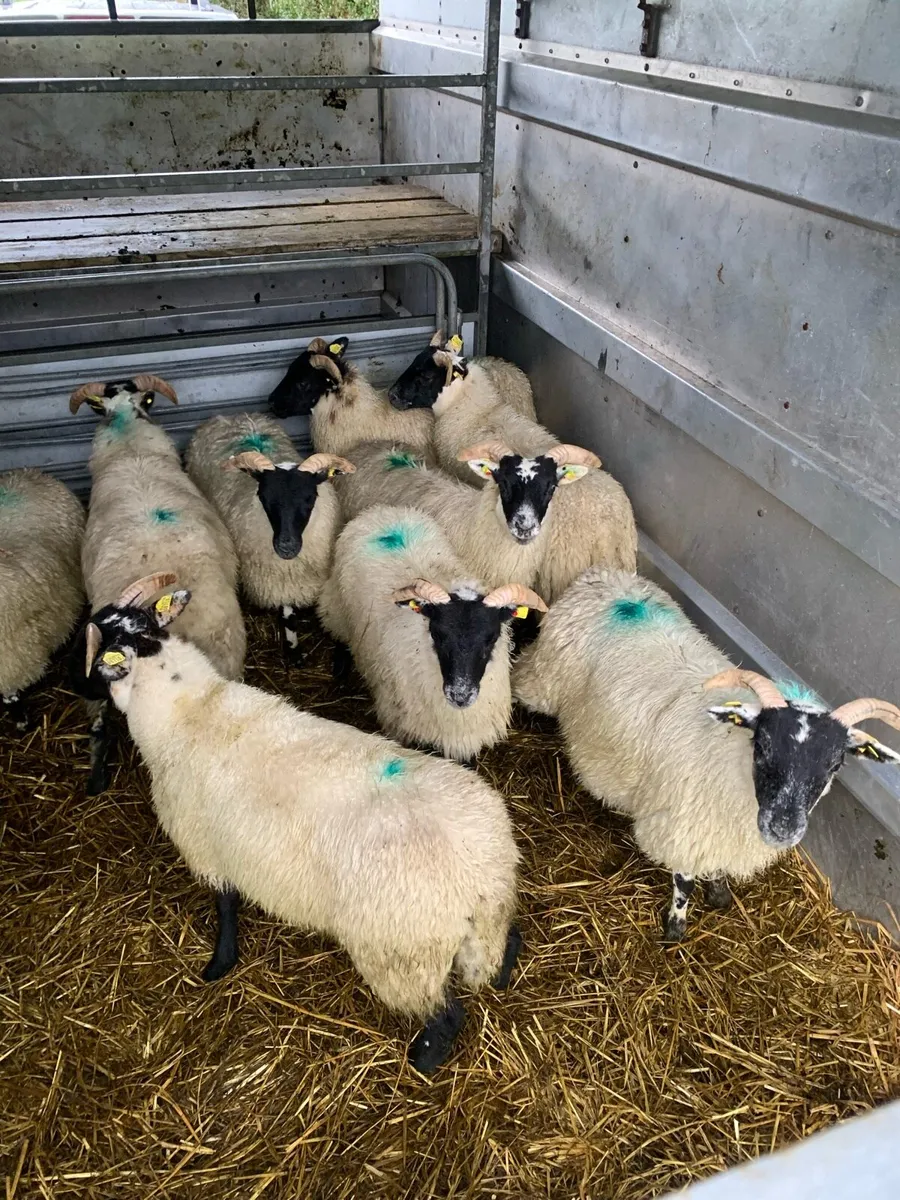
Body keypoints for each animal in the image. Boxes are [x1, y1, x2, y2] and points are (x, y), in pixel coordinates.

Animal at [81, 572, 522, 1074]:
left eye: (94, 646)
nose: (83, 693)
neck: (190, 708)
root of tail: (484, 873)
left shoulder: (209, 847)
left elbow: (225, 906)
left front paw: (220, 964)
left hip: (402, 954)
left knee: (448, 1013)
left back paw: (422, 1060)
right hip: (481, 928)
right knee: (509, 943)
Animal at [186, 414, 355, 663]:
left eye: (310, 497)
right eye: (264, 497)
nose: (286, 546)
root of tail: (232, 416)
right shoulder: (279, 580)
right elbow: (288, 617)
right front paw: (294, 652)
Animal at [317, 504, 547, 763]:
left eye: (491, 639)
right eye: (437, 635)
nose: (460, 695)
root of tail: (384, 510)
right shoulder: (398, 725)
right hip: (337, 605)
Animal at [513, 567, 900, 941]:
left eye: (835, 764)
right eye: (762, 745)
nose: (783, 828)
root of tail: (603, 576)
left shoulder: (716, 832)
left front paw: (718, 891)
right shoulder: (683, 826)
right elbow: (684, 883)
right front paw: (675, 928)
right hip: (543, 680)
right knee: (520, 677)